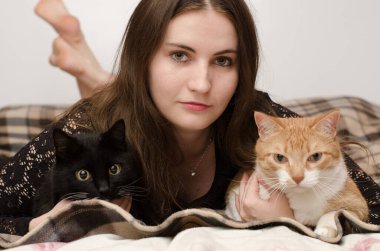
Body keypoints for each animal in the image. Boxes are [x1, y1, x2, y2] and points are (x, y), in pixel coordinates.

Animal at [226, 109, 368, 237]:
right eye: (279, 158)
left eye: (315, 156)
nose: (297, 177)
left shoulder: (359, 207)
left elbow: (336, 212)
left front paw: (325, 228)